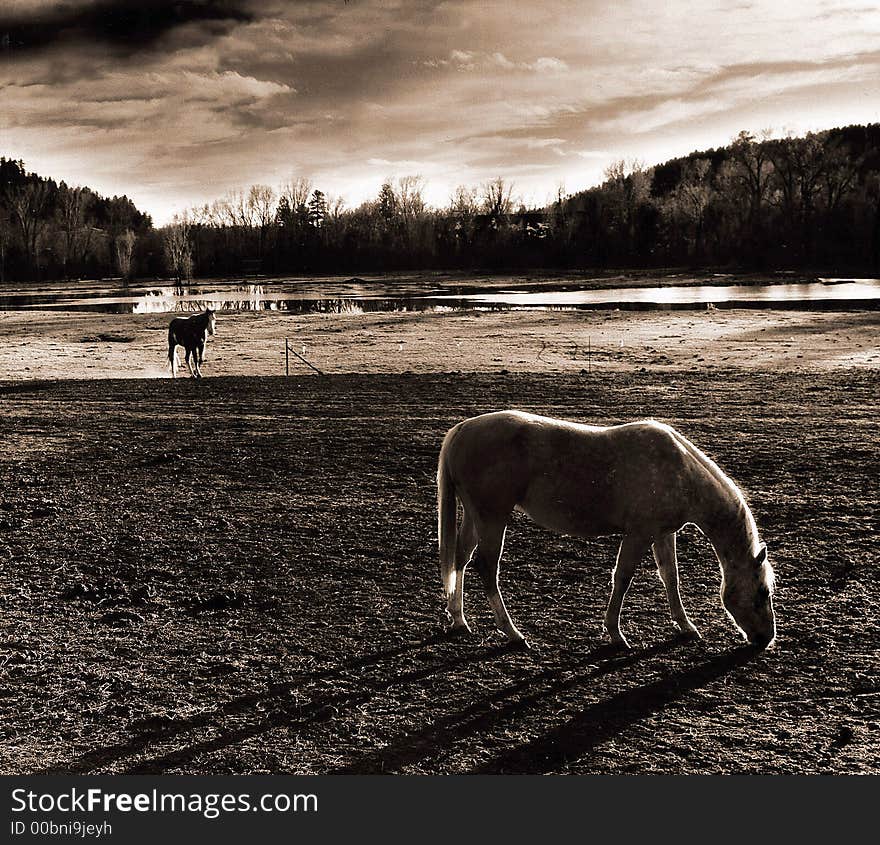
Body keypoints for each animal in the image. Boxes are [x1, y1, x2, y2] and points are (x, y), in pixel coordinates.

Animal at [436, 412, 772, 648]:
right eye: (763, 591)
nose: (766, 639)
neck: (681, 470)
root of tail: (461, 430)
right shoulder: (639, 535)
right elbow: (622, 578)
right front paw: (615, 633)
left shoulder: (663, 534)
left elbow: (670, 577)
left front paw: (686, 626)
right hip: (493, 519)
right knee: (486, 568)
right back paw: (512, 633)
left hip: (476, 518)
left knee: (460, 559)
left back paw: (459, 619)